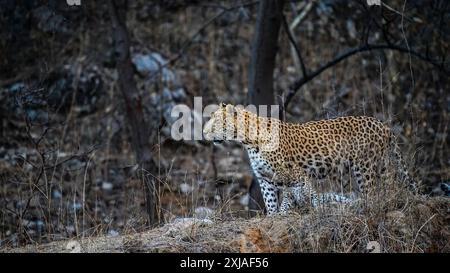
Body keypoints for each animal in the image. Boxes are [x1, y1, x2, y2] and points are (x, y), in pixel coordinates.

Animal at [202, 103, 416, 214]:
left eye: (216, 122)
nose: (204, 133)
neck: (248, 141)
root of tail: (384, 125)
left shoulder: (289, 172)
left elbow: (291, 195)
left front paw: (285, 211)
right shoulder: (264, 178)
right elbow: (270, 200)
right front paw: (273, 216)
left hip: (364, 167)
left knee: (372, 192)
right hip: (380, 164)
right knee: (388, 184)